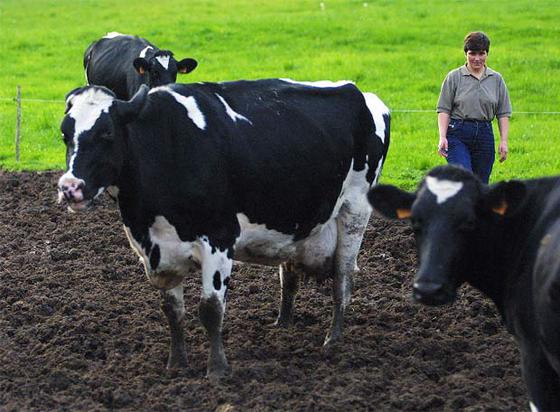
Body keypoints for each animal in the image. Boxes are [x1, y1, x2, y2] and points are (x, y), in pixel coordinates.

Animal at [57, 79, 390, 378]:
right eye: (64, 134)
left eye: (107, 133)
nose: (70, 187)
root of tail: (362, 93)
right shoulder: (157, 252)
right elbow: (172, 311)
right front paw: (176, 364)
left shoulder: (218, 238)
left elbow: (211, 309)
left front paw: (217, 370)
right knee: (289, 276)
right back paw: (283, 324)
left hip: (354, 211)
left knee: (342, 279)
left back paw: (333, 340)